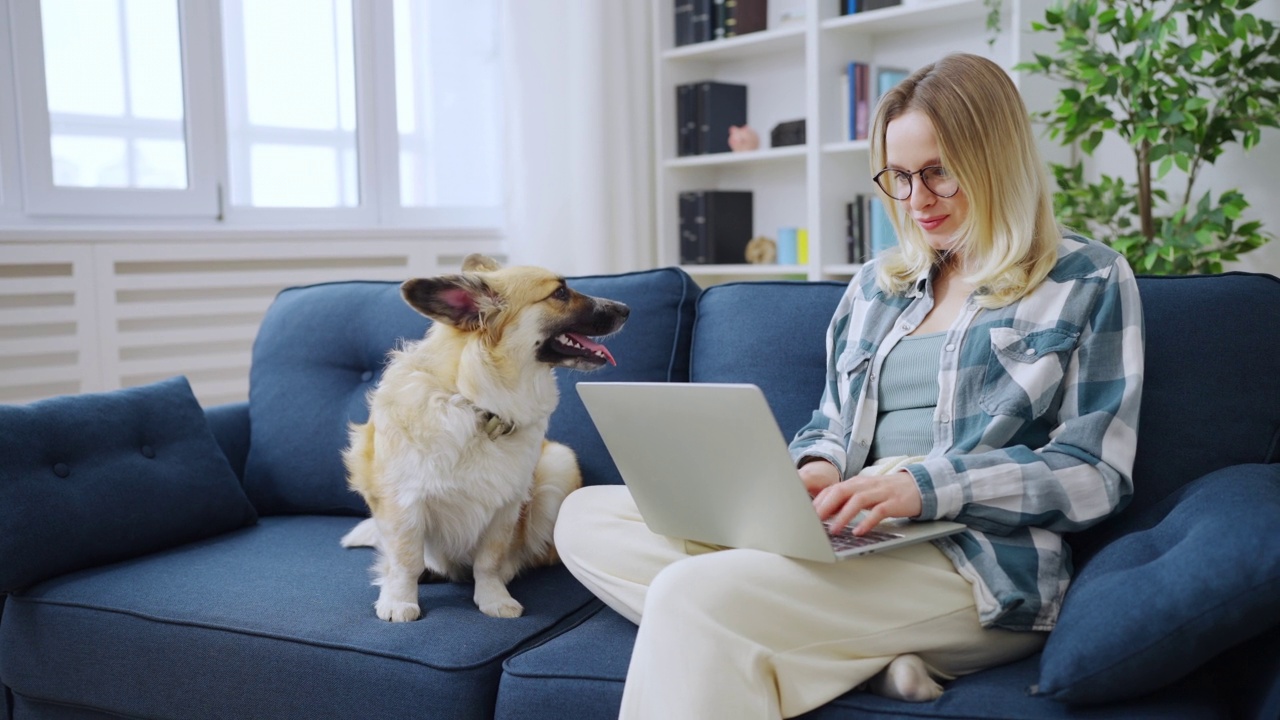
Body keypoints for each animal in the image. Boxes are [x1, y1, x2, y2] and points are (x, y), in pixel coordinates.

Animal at [340, 254, 629, 620]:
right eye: (560, 293)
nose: (626, 309)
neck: (478, 407)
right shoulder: (403, 502)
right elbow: (405, 560)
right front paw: (400, 600)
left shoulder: (504, 508)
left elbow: (489, 562)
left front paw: (493, 598)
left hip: (558, 465)